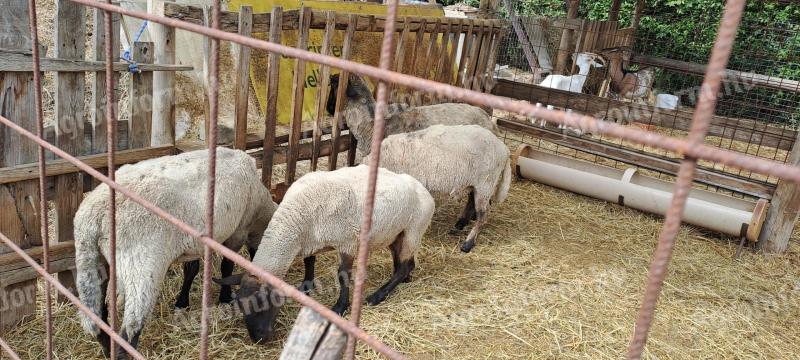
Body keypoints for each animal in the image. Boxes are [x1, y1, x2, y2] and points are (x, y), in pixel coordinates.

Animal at [74, 148, 278, 358]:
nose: (261, 338)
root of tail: (94, 216)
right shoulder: (239, 229)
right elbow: (226, 267)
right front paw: (224, 298)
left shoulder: (195, 243)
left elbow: (191, 270)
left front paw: (182, 303)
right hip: (141, 265)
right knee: (130, 330)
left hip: (90, 259)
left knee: (97, 317)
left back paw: (108, 350)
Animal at [216, 165, 434, 344]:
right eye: (239, 304)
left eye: (264, 301)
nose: (258, 339)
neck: (297, 216)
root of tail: (424, 190)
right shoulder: (309, 241)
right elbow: (309, 261)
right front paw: (306, 287)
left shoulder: (347, 242)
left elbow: (343, 275)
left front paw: (340, 308)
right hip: (396, 234)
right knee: (405, 262)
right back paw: (403, 280)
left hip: (414, 229)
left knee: (405, 265)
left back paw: (377, 295)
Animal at [364, 124, 510, 253]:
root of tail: (504, 148)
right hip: (474, 182)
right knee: (471, 202)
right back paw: (459, 225)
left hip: (486, 182)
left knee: (483, 215)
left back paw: (468, 243)